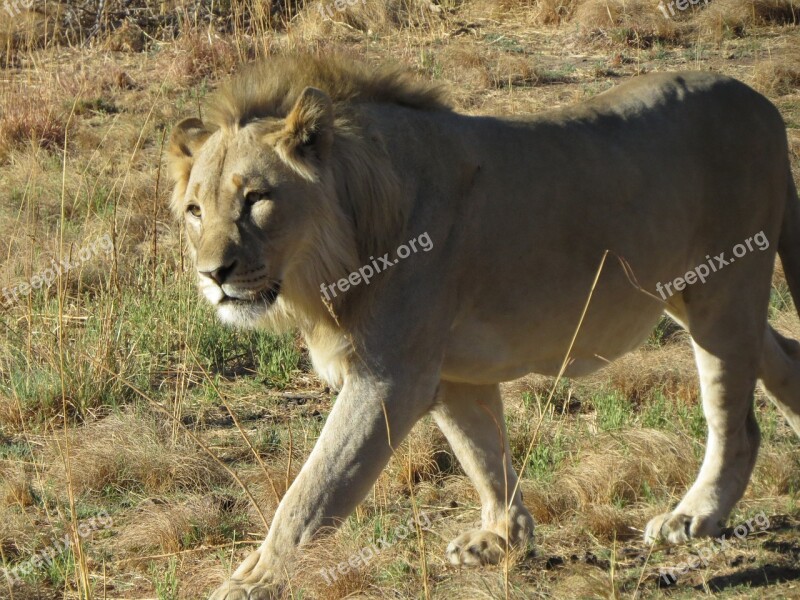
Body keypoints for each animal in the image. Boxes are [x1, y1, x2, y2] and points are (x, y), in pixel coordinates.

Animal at [167, 54, 800, 596]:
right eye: (195, 210)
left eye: (256, 198)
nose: (212, 274)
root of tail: (763, 102)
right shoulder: (451, 374)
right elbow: (483, 453)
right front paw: (502, 539)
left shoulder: (389, 376)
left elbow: (311, 493)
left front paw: (250, 583)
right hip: (694, 293)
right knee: (784, 355)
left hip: (724, 289)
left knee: (737, 423)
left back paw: (694, 516)